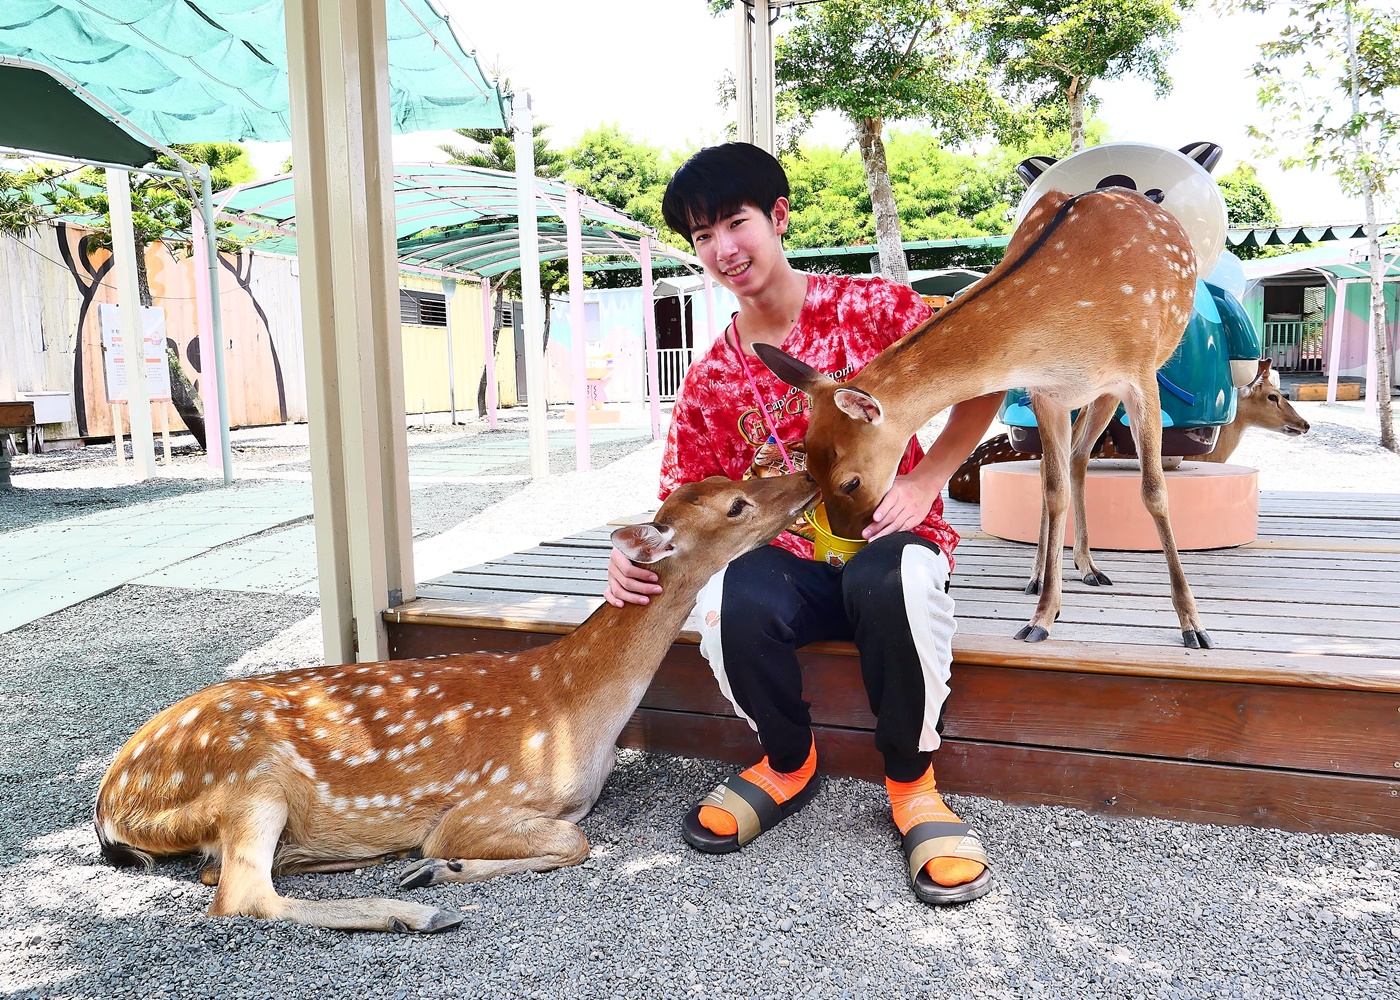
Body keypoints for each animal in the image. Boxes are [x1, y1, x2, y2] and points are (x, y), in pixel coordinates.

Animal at [93, 472, 819, 934]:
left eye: (739, 476)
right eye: (737, 505)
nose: (807, 477)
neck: (577, 707)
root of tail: (109, 802)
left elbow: (570, 835)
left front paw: (434, 868)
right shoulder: (484, 800)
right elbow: (572, 841)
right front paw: (442, 867)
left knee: (231, 875)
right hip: (247, 776)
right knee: (241, 895)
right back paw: (413, 910)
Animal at [756, 187, 1214, 648]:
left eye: (849, 481)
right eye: (809, 471)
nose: (844, 550)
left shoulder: (1139, 376)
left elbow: (1155, 492)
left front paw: (1192, 624)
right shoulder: (1046, 392)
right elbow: (1054, 490)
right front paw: (1043, 615)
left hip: (1111, 389)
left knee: (1080, 458)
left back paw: (1089, 569)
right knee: (1066, 464)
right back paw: (1052, 573)